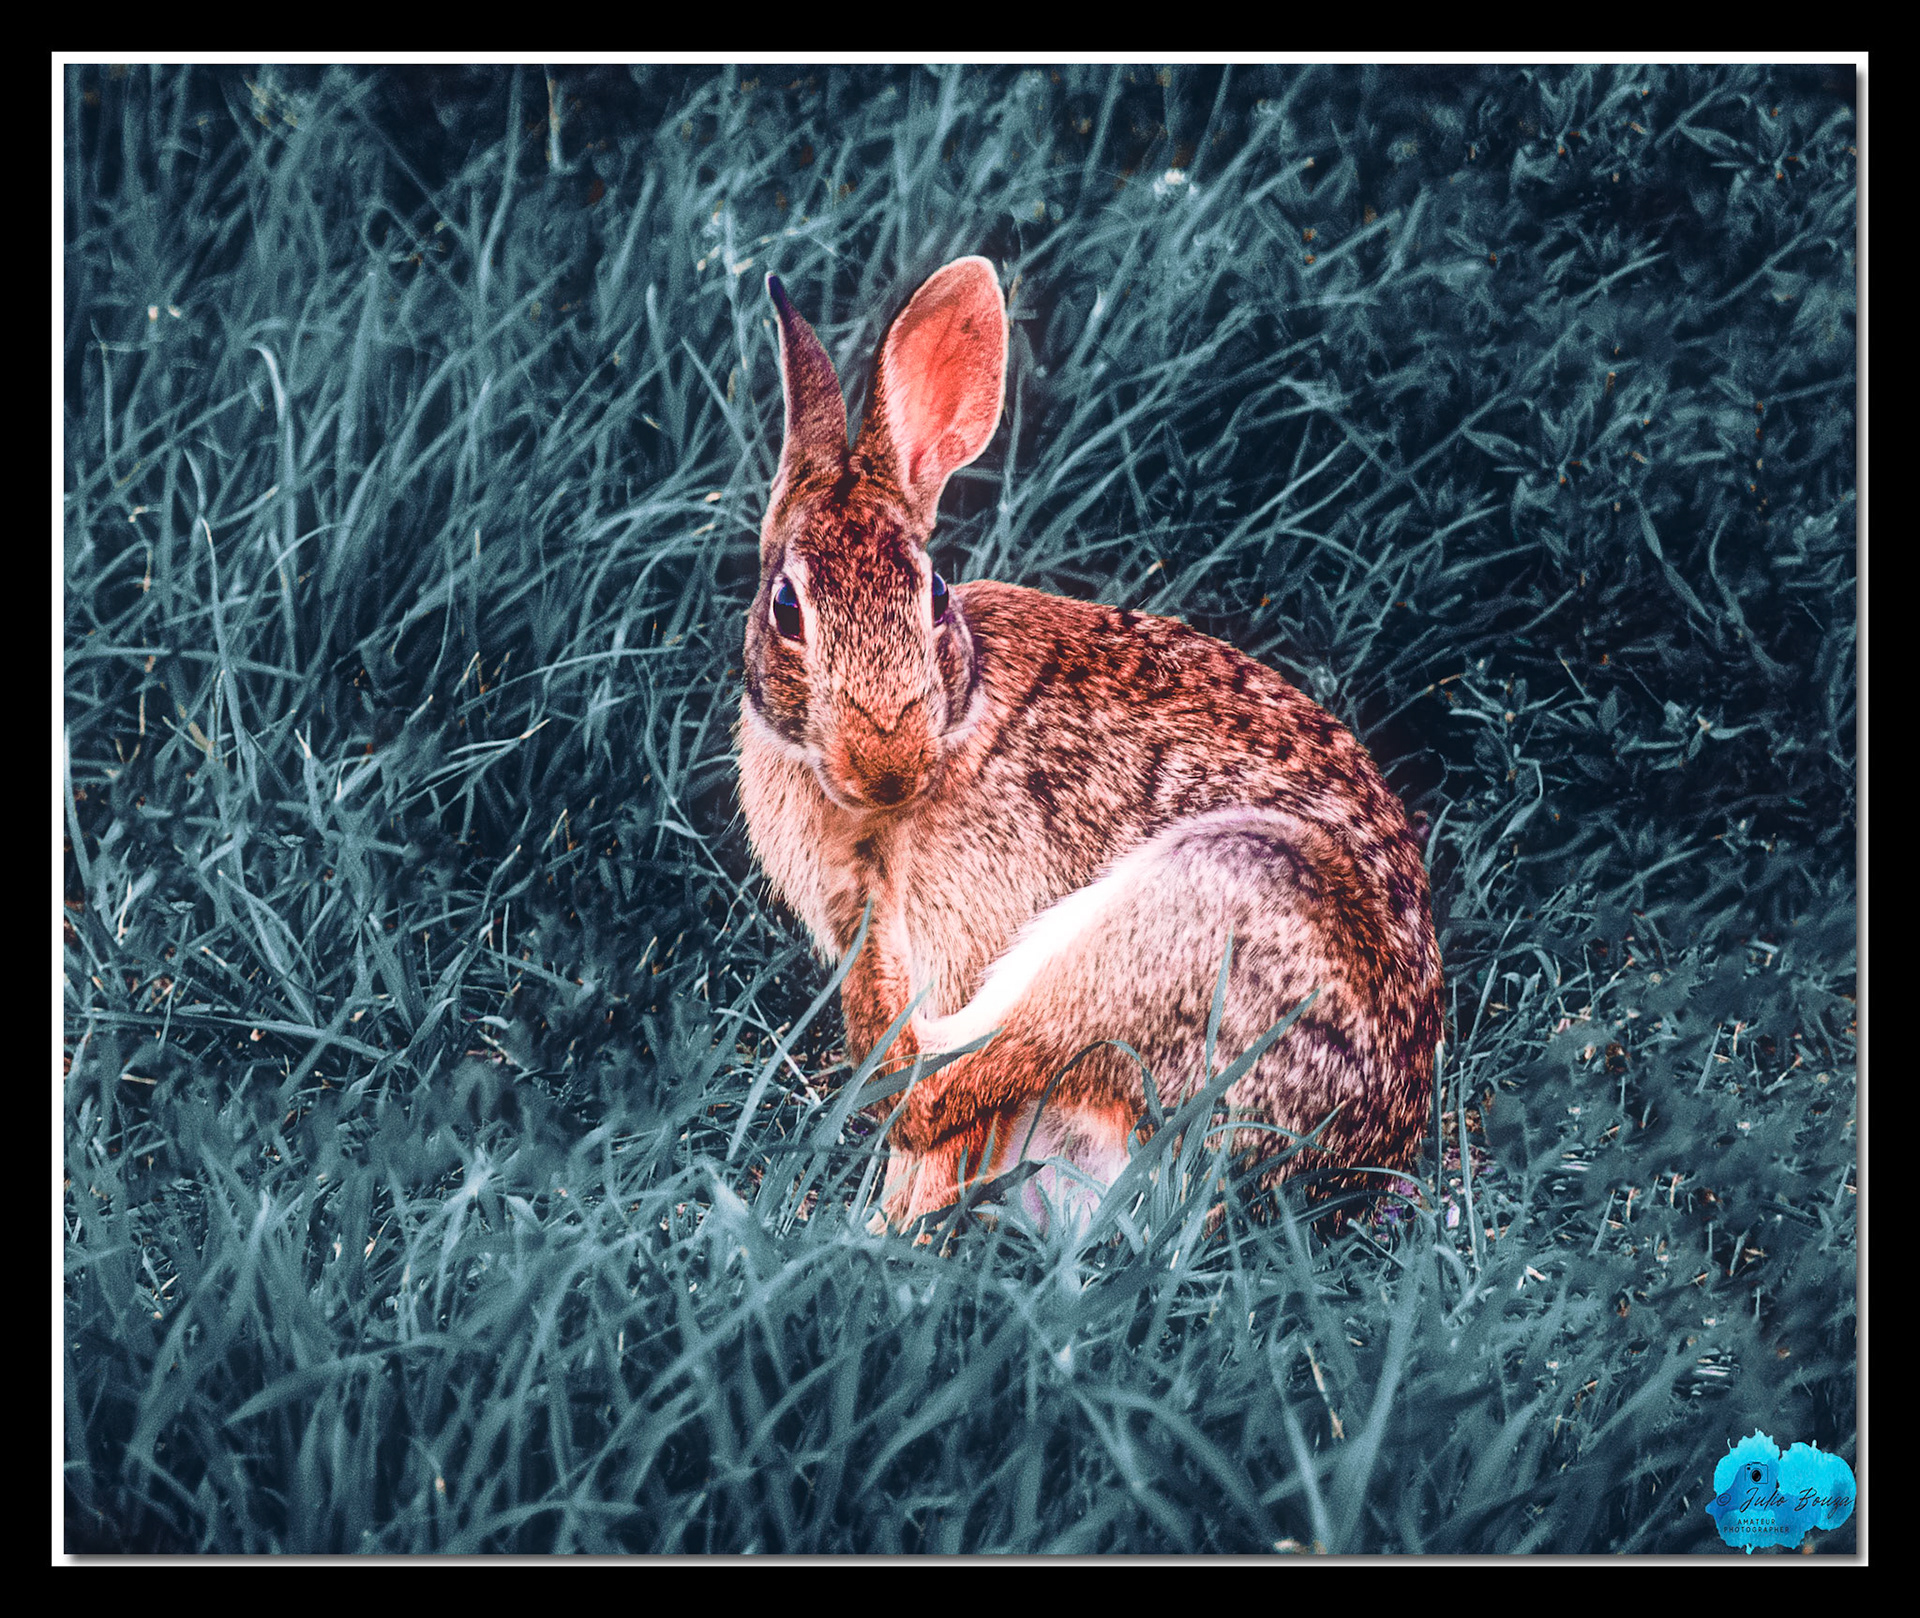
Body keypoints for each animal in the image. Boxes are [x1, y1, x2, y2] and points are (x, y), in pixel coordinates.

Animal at [737, 256, 1443, 1234]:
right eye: (787, 609)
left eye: (936, 595)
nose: (886, 764)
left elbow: (937, 1127)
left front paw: (888, 1225)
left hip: (1202, 905)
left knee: (941, 1081)